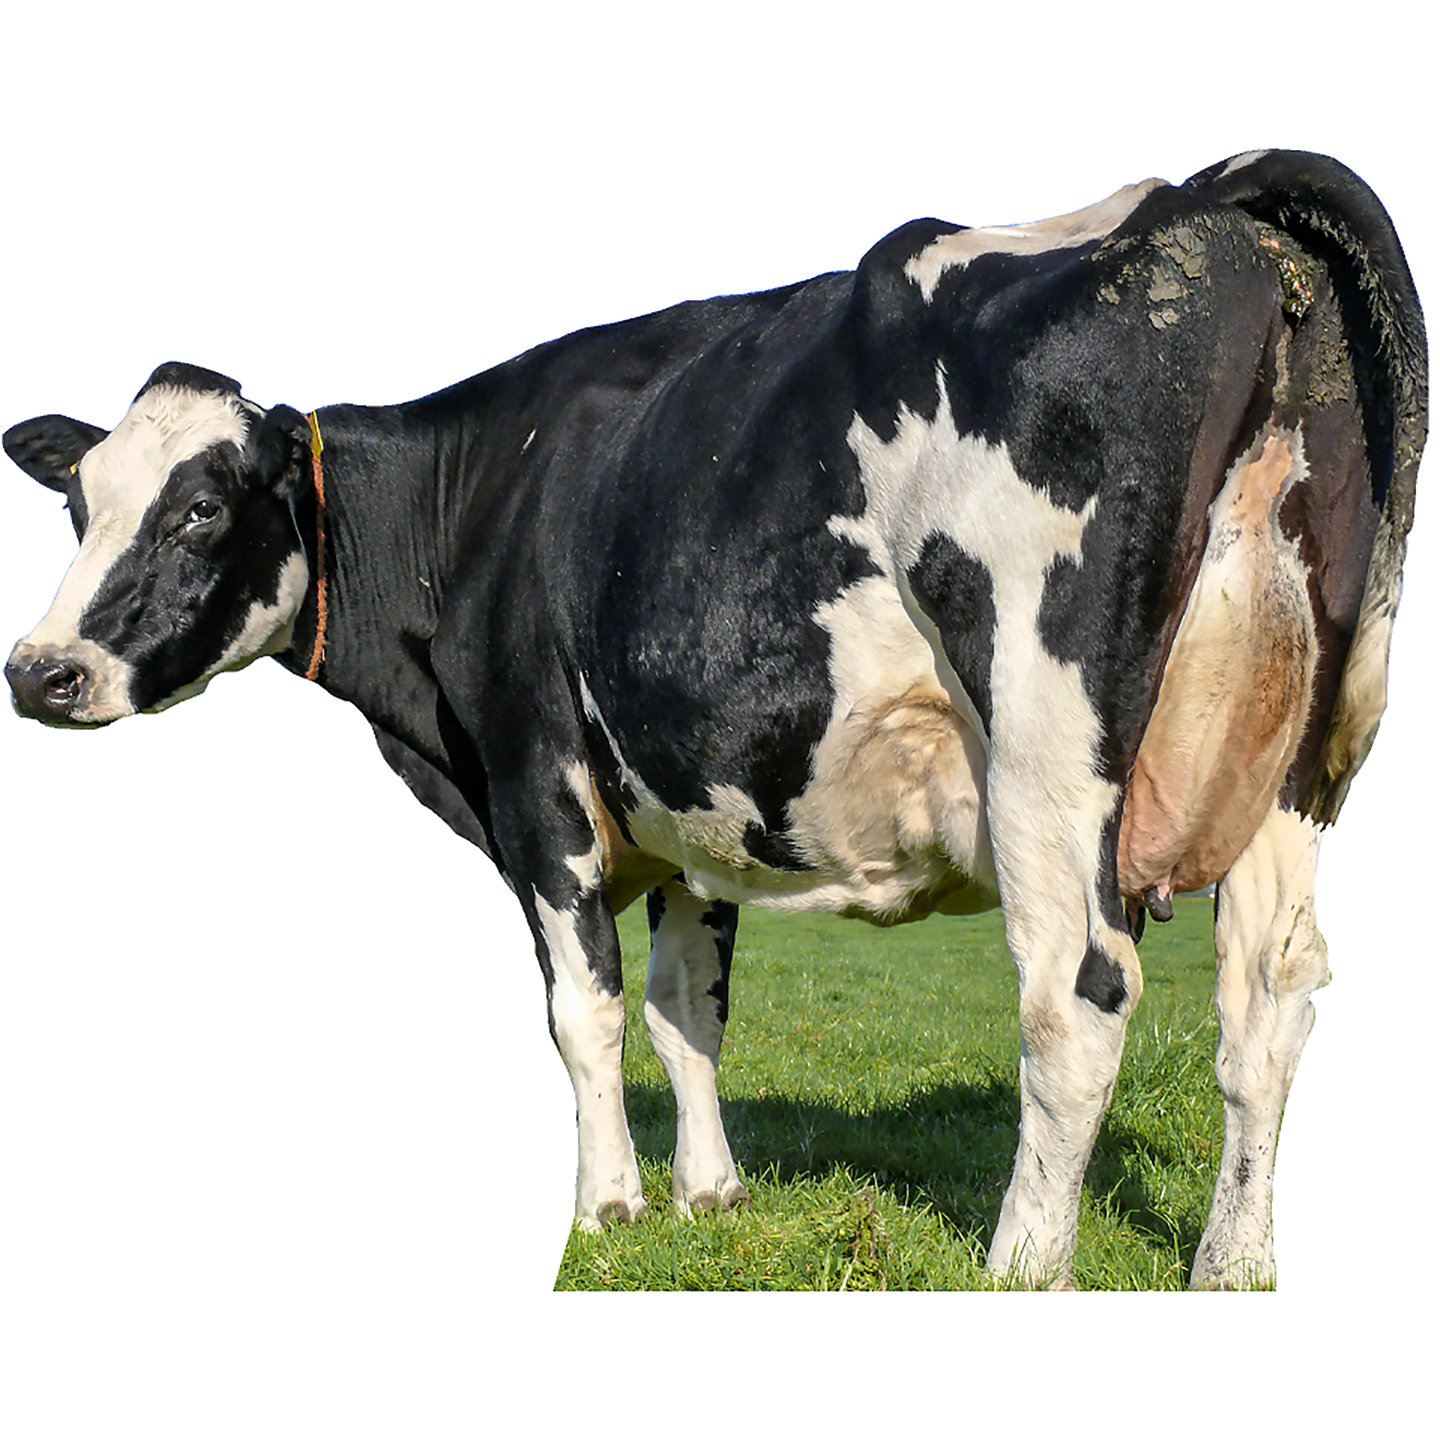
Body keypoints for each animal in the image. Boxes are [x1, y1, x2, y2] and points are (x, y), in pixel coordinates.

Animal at [4, 150, 1425, 1290]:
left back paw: (1023, 1266)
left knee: (1076, 994)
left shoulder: (535, 784)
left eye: (198, 510)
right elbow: (690, 1005)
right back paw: (1233, 1264)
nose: (41, 672)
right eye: (77, 505)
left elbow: (582, 1013)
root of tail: (1194, 199)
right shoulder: (694, 809)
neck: (473, 509)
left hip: (1045, 744)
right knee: (1270, 1001)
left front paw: (608, 1212)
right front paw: (711, 1197)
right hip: (1292, 758)